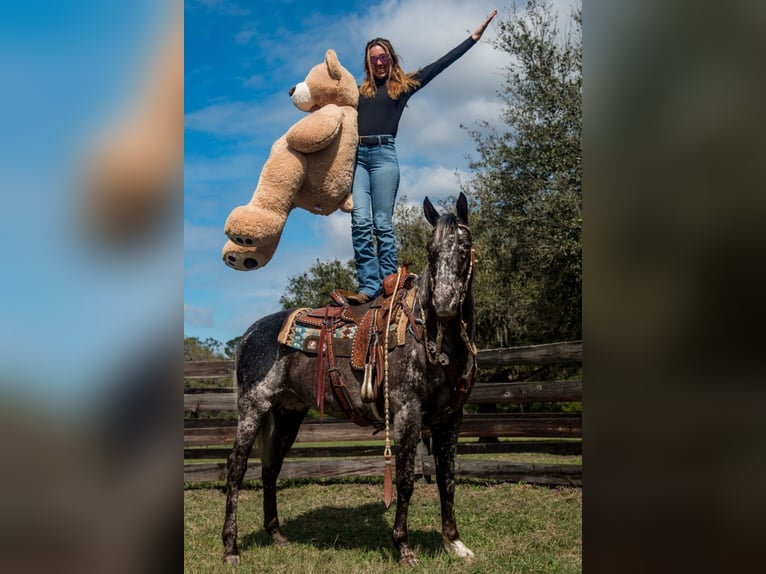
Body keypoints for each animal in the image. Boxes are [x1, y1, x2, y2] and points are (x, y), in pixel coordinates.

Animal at [219, 192, 476, 568]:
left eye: (464, 246)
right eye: (431, 250)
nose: (444, 304)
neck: (431, 336)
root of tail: (250, 333)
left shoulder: (451, 418)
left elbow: (447, 479)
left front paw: (455, 543)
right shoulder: (408, 413)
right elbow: (405, 481)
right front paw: (404, 548)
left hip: (287, 413)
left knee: (271, 467)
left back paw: (277, 535)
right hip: (253, 407)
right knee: (236, 467)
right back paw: (231, 548)